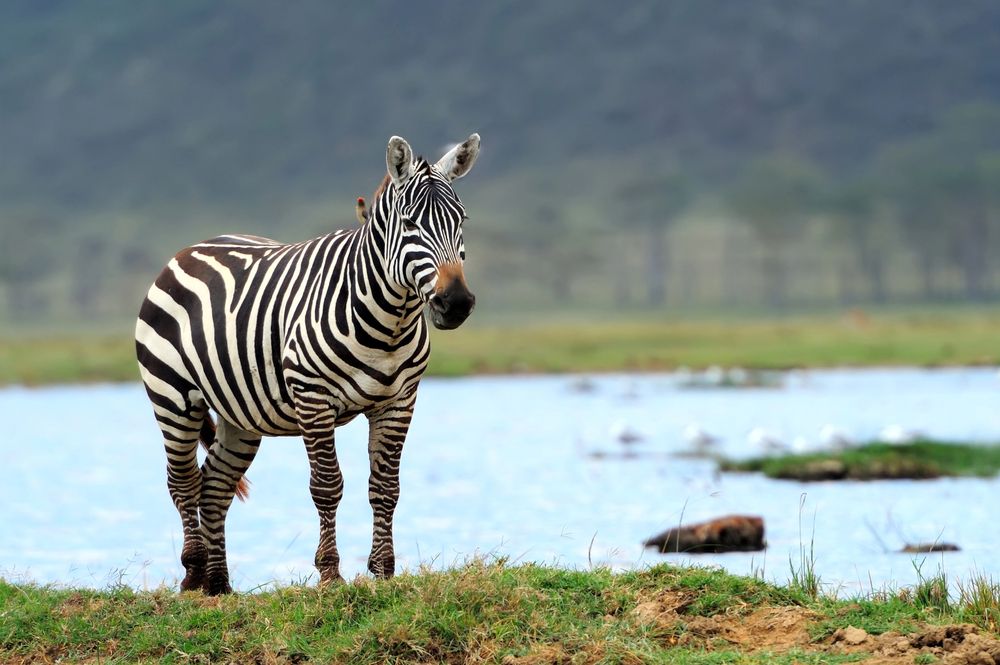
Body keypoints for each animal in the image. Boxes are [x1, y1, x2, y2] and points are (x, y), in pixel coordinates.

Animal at [135, 134, 481, 594]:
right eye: (409, 224)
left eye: (461, 220)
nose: (456, 303)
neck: (388, 323)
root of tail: (192, 249)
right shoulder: (313, 399)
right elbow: (327, 486)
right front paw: (330, 573)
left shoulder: (399, 402)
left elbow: (386, 487)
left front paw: (383, 571)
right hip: (173, 396)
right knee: (183, 481)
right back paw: (193, 573)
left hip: (240, 414)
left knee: (215, 486)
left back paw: (219, 584)